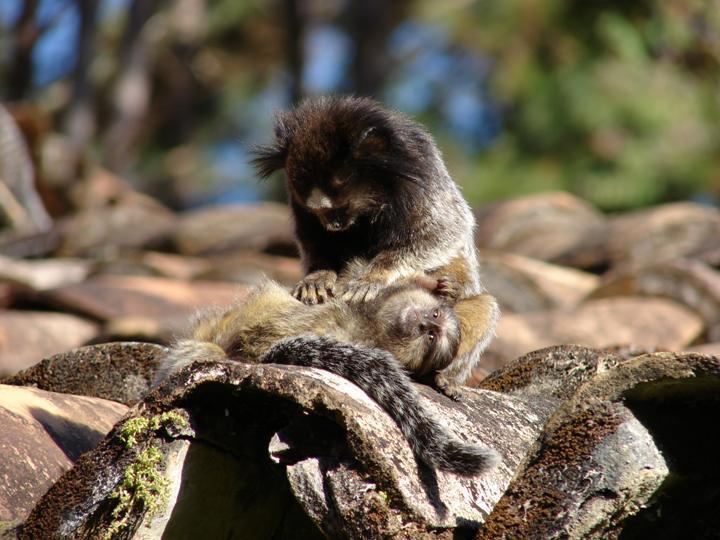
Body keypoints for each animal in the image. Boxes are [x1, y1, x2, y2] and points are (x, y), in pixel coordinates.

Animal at [155, 276, 498, 474]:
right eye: (434, 318)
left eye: (432, 337)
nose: (425, 322)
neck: (366, 326)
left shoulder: (336, 335)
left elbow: (268, 345)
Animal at [252, 96, 496, 392]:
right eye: (319, 212)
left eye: (341, 208)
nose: (333, 225)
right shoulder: (299, 204)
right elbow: (313, 246)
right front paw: (318, 277)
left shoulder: (421, 173)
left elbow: (445, 229)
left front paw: (375, 276)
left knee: (484, 304)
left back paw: (442, 373)